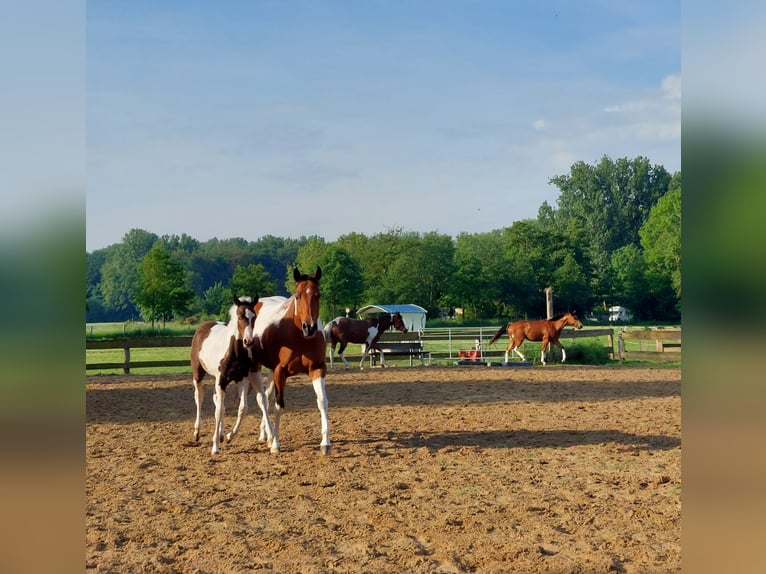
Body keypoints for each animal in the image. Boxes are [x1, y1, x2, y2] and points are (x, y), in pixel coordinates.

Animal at [190, 294, 274, 456]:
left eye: (254, 316)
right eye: (240, 316)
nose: (249, 341)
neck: (234, 353)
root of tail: (204, 326)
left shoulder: (242, 380)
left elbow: (242, 408)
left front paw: (227, 436)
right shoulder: (221, 380)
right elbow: (219, 410)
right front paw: (215, 446)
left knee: (216, 399)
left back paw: (222, 434)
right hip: (198, 374)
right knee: (199, 397)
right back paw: (197, 432)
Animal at [249, 268, 328, 456]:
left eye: (318, 295)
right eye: (297, 296)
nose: (310, 327)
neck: (299, 337)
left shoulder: (317, 369)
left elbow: (322, 402)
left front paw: (325, 443)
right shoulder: (280, 372)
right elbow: (279, 406)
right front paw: (276, 444)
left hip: (271, 371)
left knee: (267, 396)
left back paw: (265, 434)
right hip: (257, 367)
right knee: (262, 399)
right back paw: (269, 437)